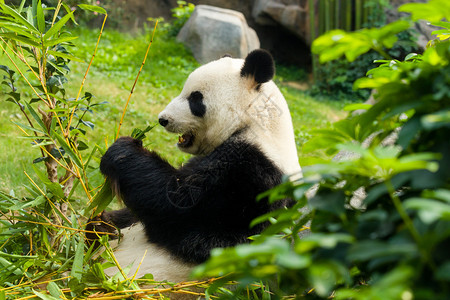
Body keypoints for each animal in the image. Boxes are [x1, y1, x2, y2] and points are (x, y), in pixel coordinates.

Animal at [98, 49, 302, 284]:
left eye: (196, 99)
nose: (163, 119)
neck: (258, 122)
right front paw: (103, 220)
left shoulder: (251, 180)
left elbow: (177, 206)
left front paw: (122, 150)